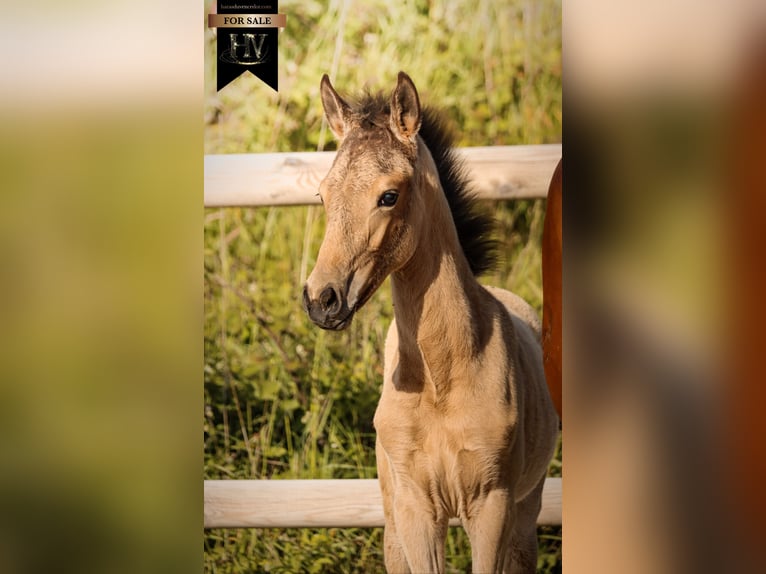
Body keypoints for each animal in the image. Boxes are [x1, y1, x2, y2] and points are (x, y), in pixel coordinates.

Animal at [302, 72, 559, 573]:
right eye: (323, 194)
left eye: (389, 196)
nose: (321, 299)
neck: (441, 375)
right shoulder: (415, 508)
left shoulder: (492, 506)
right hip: (391, 521)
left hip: (526, 515)